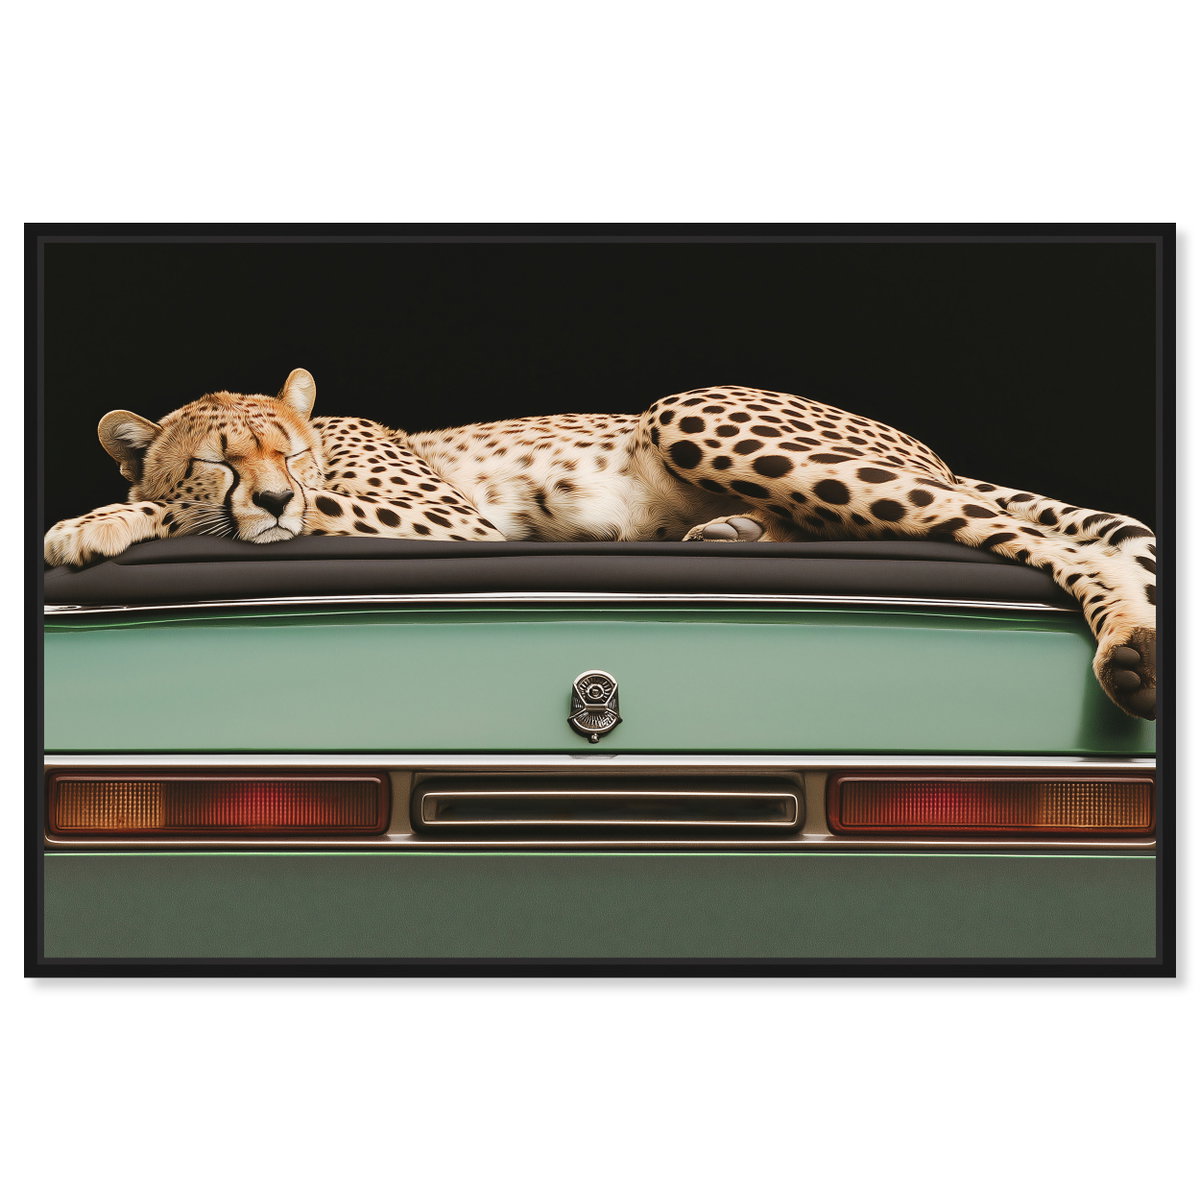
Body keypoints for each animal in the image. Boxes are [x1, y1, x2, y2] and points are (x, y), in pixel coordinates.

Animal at [43, 368, 1158, 719]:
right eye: (218, 459)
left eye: (292, 448)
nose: (273, 497)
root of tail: (933, 447)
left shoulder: (452, 525)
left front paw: (91, 522)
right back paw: (727, 528)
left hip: (695, 411)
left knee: (1025, 534)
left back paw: (1132, 649)